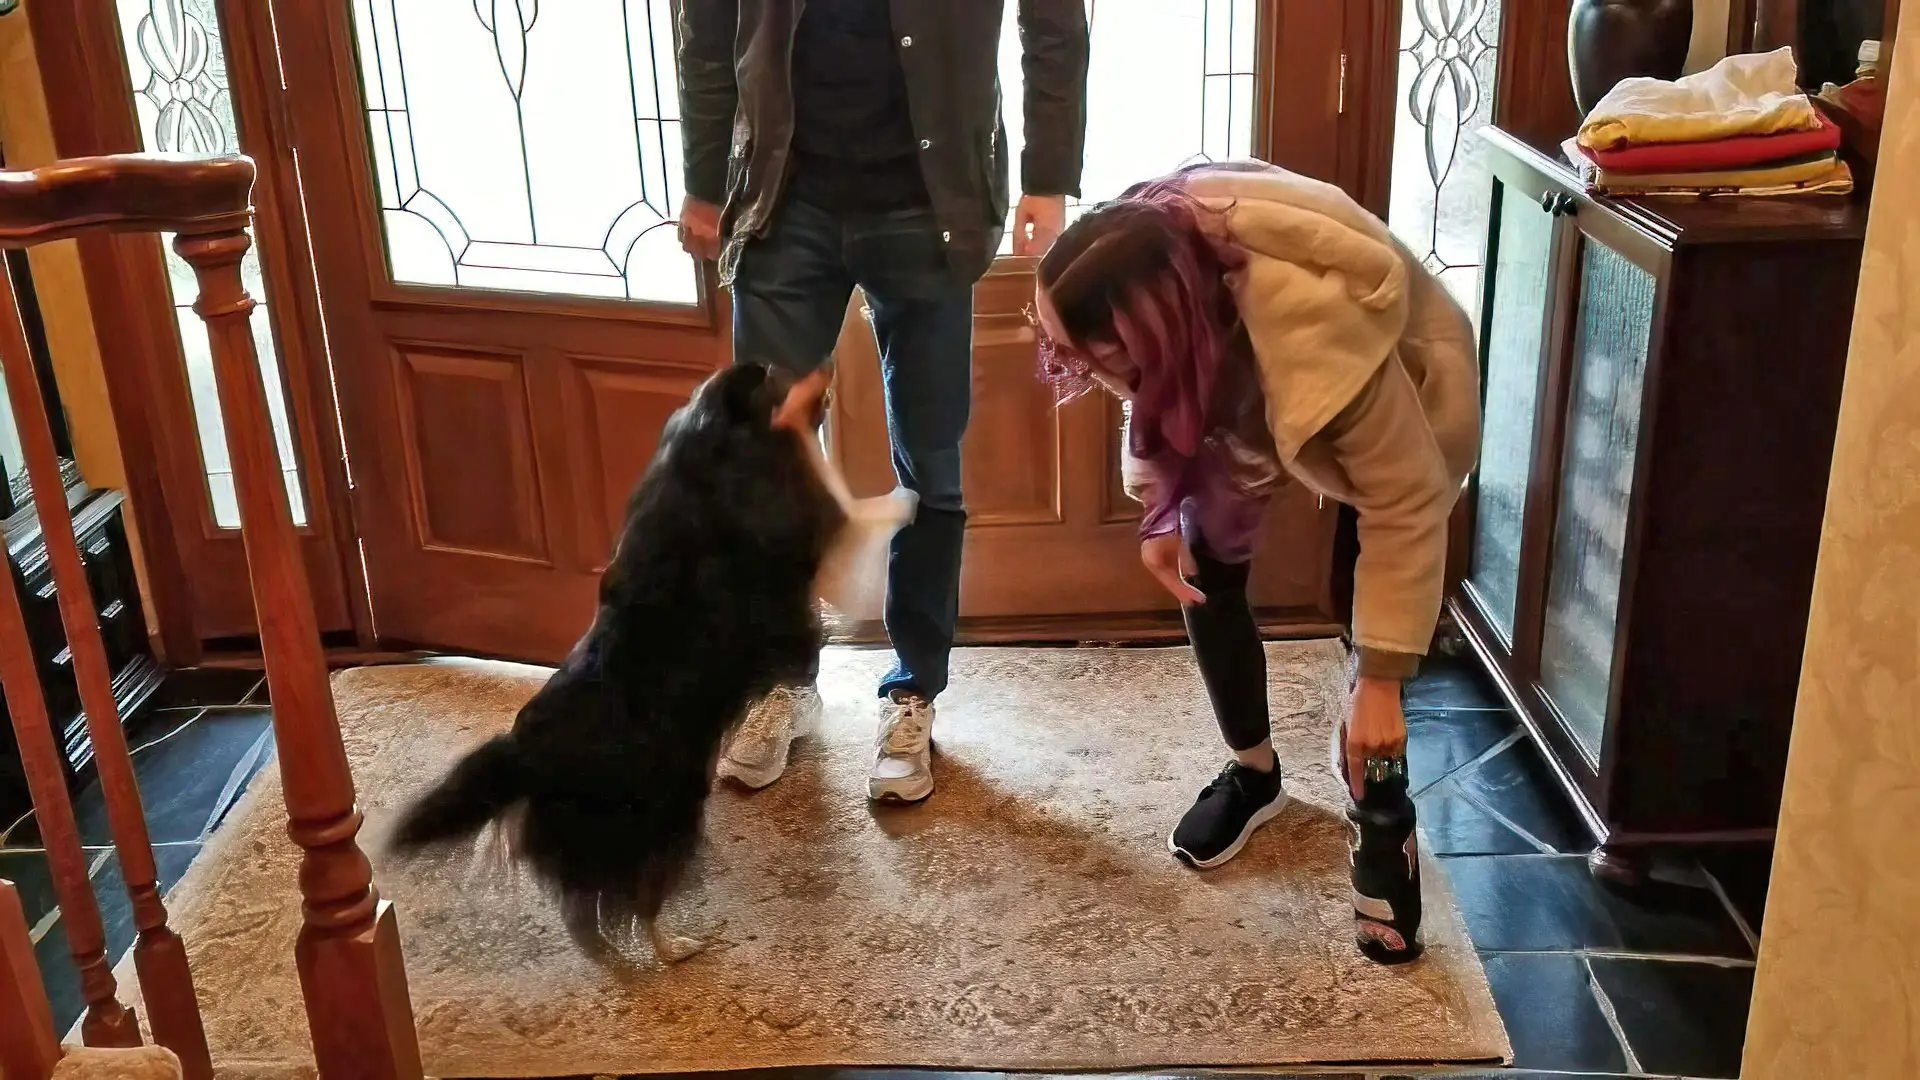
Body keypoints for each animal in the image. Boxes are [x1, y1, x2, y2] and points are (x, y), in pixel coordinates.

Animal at [388, 362, 850, 965]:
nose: (825, 368)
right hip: (669, 812)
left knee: (583, 906)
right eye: (776, 378)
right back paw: (674, 946)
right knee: (635, 898)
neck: (700, 461)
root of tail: (524, 754)